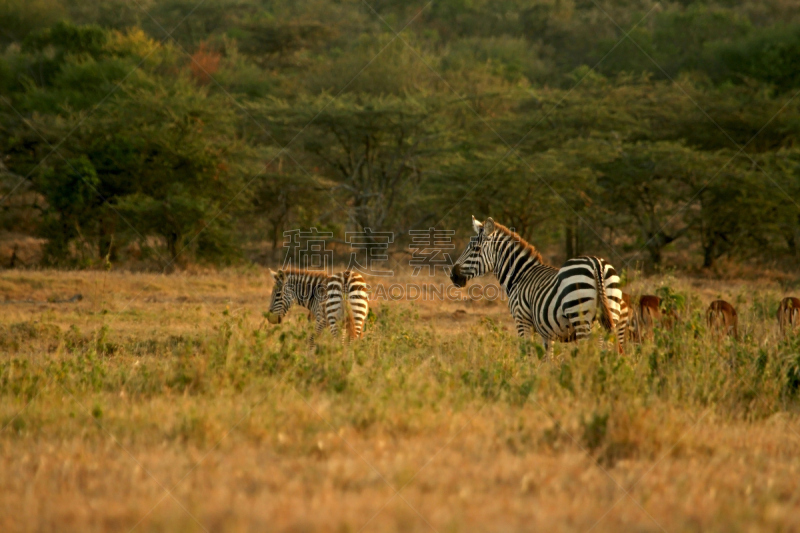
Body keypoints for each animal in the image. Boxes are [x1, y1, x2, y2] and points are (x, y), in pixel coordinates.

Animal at [450, 216, 624, 354]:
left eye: (475, 249)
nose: (453, 275)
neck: (520, 275)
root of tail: (596, 263)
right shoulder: (546, 331)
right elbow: (547, 357)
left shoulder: (522, 320)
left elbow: (526, 354)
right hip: (609, 315)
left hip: (580, 316)